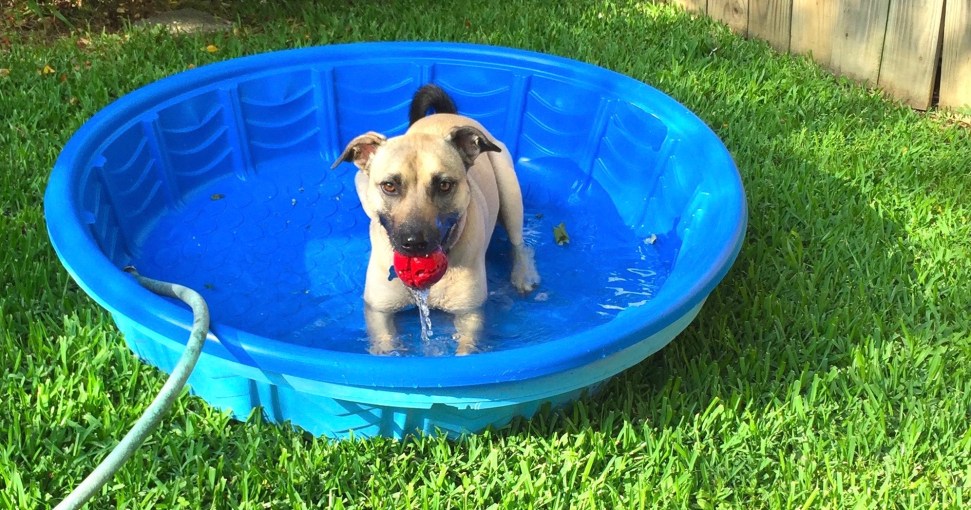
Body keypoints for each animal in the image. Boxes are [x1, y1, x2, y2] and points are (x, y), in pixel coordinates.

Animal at [332, 84, 544, 354]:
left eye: (444, 185)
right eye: (389, 186)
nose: (414, 243)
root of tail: (448, 114)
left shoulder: (470, 315)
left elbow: (466, 347)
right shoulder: (379, 312)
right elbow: (387, 344)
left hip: (509, 188)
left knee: (518, 243)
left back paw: (523, 275)